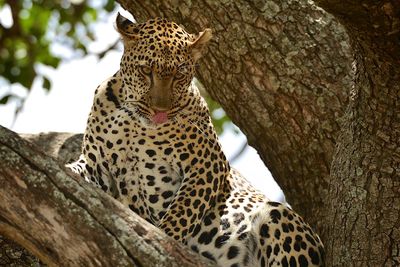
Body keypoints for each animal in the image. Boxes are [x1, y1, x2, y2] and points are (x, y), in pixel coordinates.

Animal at [69, 13, 324, 267]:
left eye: (180, 74)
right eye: (146, 71)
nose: (160, 111)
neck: (135, 122)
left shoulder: (207, 165)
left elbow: (182, 212)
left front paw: (163, 240)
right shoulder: (96, 164)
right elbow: (79, 170)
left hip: (277, 215)